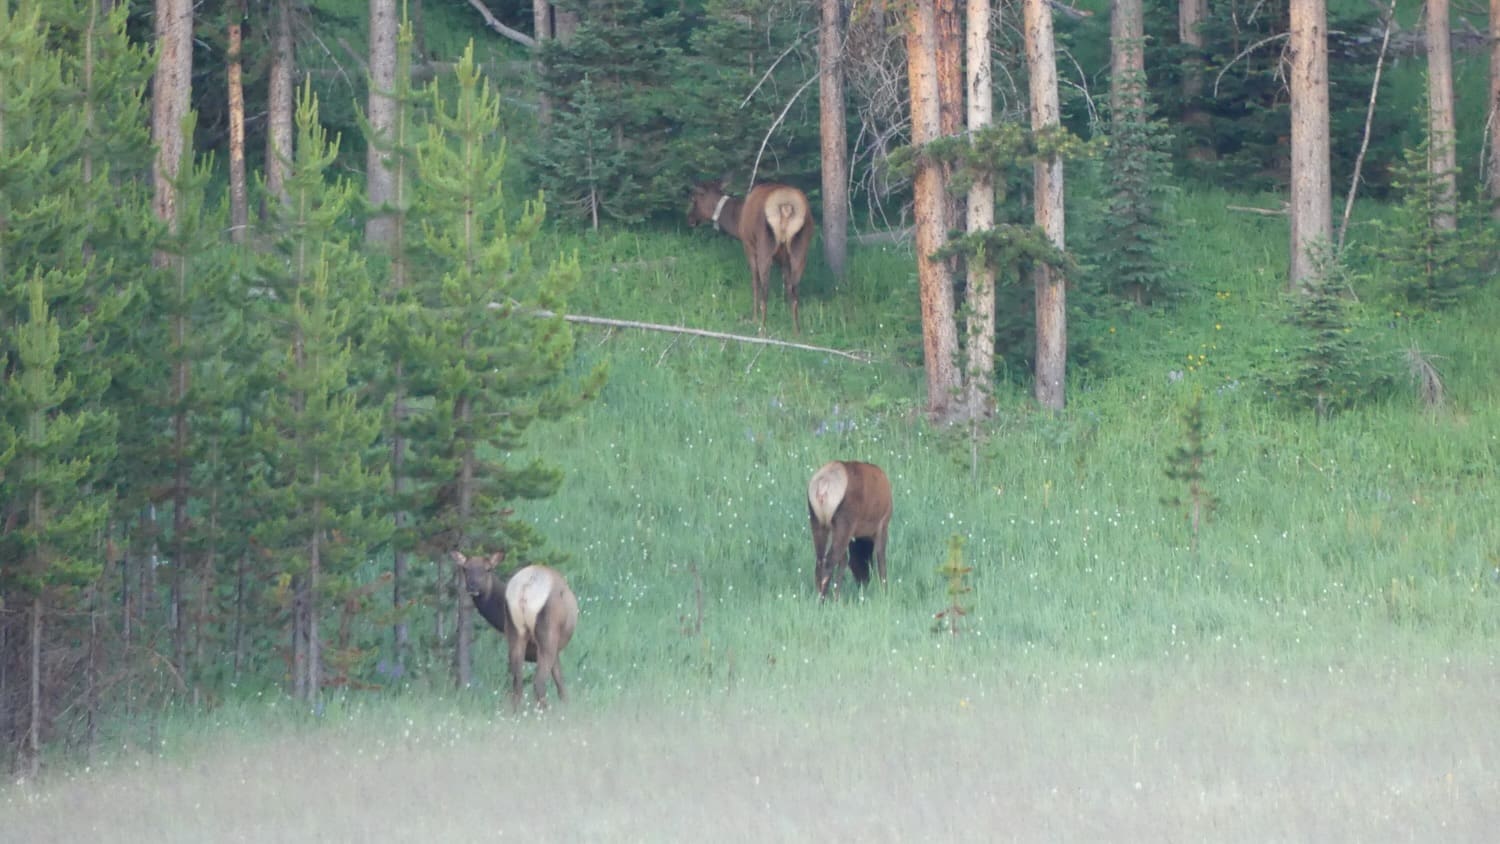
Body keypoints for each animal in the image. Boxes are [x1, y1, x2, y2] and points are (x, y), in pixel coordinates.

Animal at [450, 550, 579, 709]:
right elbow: (560, 682)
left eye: (488, 569)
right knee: (538, 682)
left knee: (517, 682)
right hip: (548, 634)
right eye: (465, 568)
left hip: (515, 632)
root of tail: (525, 590)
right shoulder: (556, 649)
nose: (473, 586)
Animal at [687, 180, 815, 333]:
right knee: (795, 290)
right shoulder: (784, 260)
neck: (737, 220)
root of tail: (786, 206)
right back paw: (797, 331)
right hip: (801, 249)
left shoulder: (748, 246)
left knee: (765, 288)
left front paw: (754, 318)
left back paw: (762, 329)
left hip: (764, 246)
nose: (690, 219)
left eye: (693, 199)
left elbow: (755, 282)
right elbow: (787, 287)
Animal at [807, 460, 893, 600]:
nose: (864, 583)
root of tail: (823, 486)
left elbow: (845, 560)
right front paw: (885, 593)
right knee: (829, 560)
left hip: (817, 521)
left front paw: (837, 596)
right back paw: (822, 599)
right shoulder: (882, 524)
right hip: (845, 520)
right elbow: (881, 561)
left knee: (821, 559)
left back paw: (820, 594)